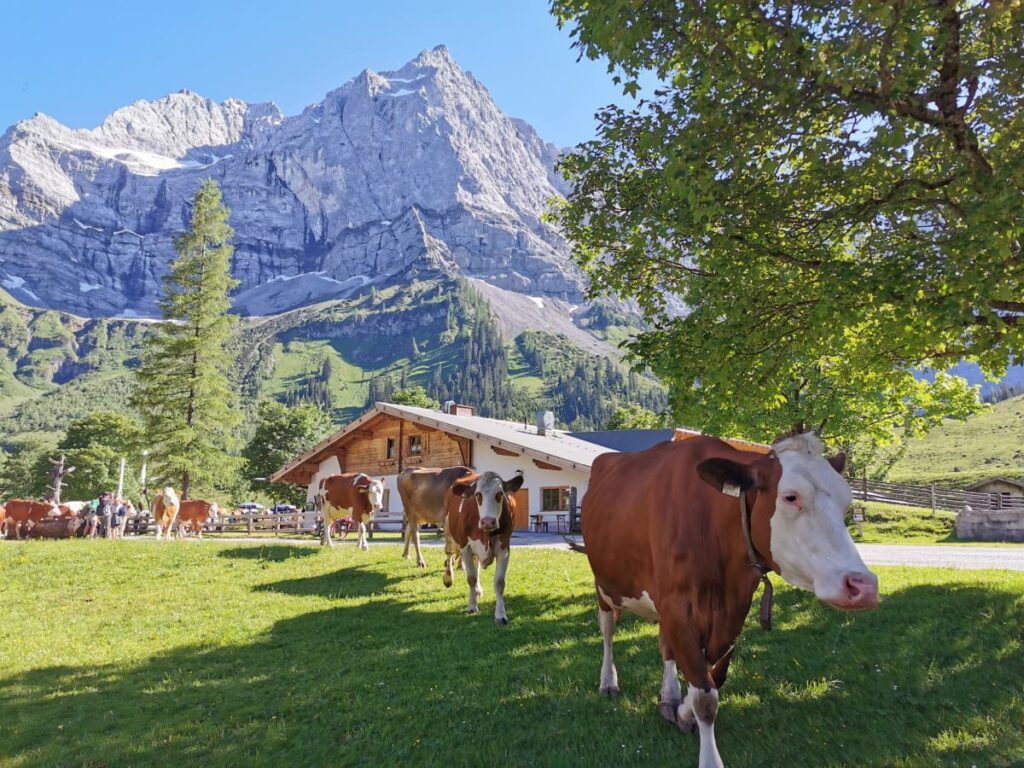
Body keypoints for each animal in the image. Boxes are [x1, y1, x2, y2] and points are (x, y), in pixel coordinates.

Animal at [442, 468, 524, 626]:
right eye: (478, 495)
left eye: (500, 494)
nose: (488, 521)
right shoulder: (465, 547)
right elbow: (471, 578)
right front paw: (472, 606)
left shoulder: (504, 548)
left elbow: (499, 583)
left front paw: (500, 615)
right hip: (448, 530)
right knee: (449, 553)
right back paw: (448, 578)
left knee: (477, 563)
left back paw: (478, 590)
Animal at [581, 436, 876, 765]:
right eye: (790, 497)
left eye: (846, 502)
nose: (864, 586)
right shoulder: (678, 607)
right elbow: (705, 697)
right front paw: (708, 755)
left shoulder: (733, 609)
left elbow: (714, 677)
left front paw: (681, 709)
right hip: (603, 585)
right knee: (608, 630)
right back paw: (608, 682)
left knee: (665, 645)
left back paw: (669, 695)